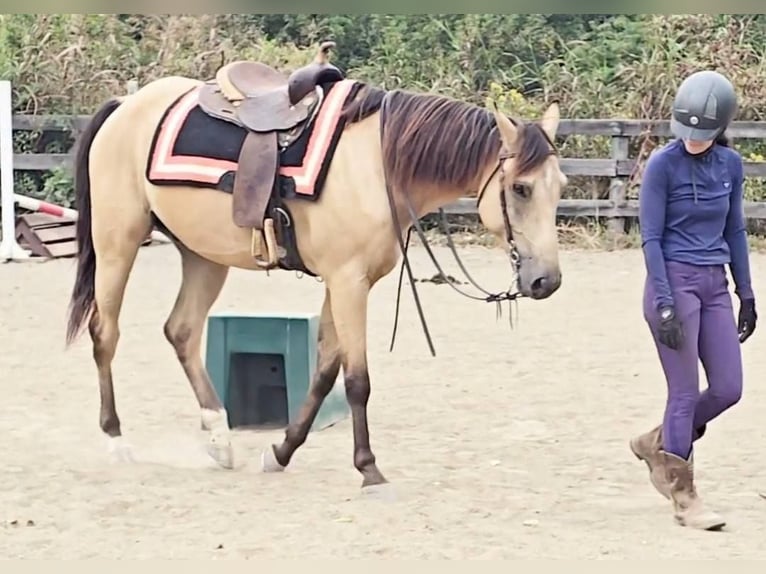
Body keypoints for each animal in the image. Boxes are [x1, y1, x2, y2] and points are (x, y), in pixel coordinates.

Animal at [63, 46, 567, 490]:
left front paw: (280, 452)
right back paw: (117, 440)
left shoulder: (345, 282)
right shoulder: (348, 282)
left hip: (202, 255)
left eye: (560, 185)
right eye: (520, 188)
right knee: (105, 332)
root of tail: (126, 105)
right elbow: (357, 379)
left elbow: (325, 373)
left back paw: (220, 439)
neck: (377, 164)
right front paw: (368, 467)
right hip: (117, 242)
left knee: (181, 331)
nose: (547, 280)